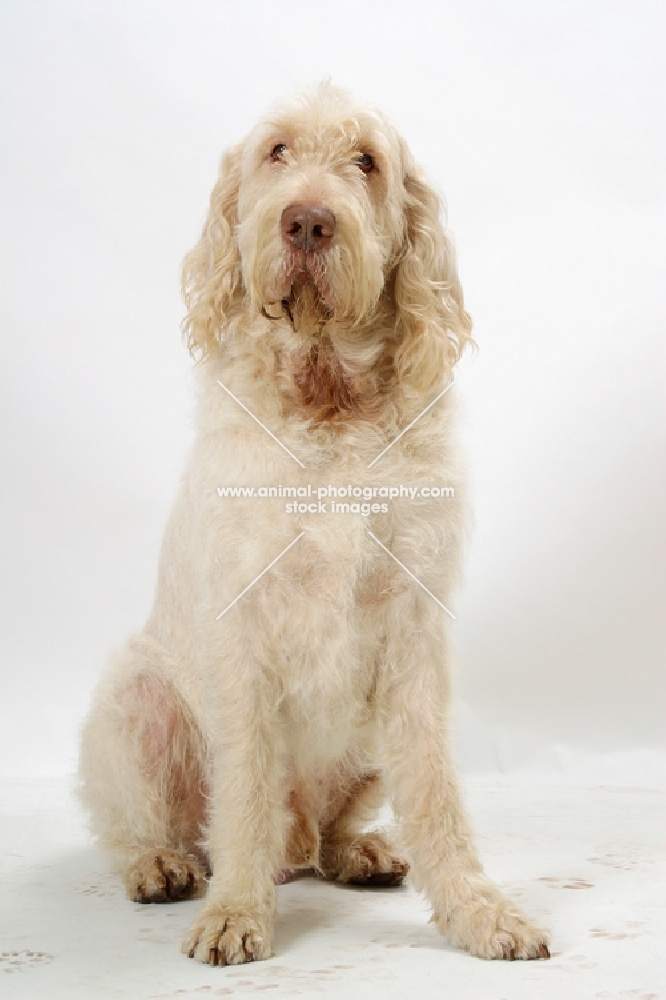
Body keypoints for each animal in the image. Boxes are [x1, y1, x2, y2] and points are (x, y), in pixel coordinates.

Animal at [76, 82, 548, 964]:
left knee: (328, 831)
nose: (307, 223)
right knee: (146, 824)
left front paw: (478, 910)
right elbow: (245, 789)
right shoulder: (242, 629)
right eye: (277, 152)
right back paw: (159, 863)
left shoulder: (414, 629)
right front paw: (234, 911)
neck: (329, 395)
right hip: (136, 698)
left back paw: (357, 849)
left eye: (366, 161)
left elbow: (436, 791)